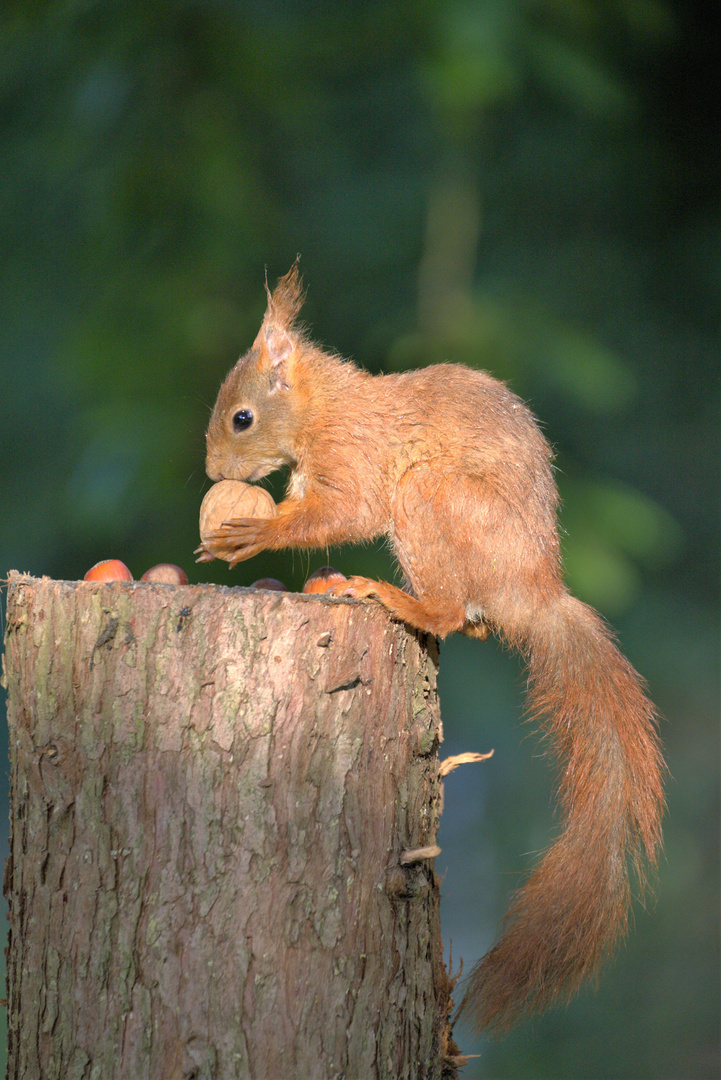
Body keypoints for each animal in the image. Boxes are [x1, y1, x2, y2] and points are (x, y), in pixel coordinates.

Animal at [197, 265, 664, 1032]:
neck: (325, 410)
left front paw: (251, 534)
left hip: (430, 494)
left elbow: (346, 511)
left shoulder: (354, 457)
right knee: (467, 625)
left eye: (242, 417)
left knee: (452, 613)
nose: (210, 473)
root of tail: (533, 590)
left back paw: (395, 598)